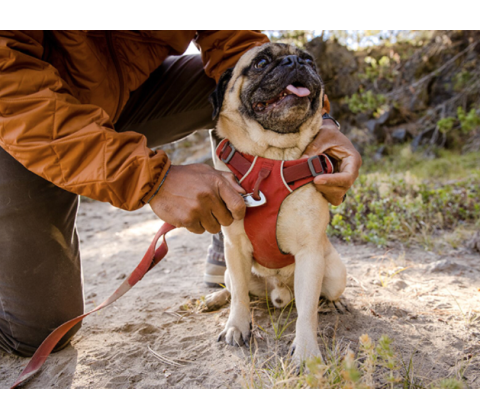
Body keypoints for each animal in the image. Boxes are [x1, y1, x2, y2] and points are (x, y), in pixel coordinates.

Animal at [208, 44, 346, 362]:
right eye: (260, 62)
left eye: (310, 61)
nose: (295, 61)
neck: (272, 159)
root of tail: (278, 293)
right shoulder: (235, 247)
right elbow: (240, 298)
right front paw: (236, 327)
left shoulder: (310, 254)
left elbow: (306, 312)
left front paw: (306, 352)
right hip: (233, 270)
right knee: (234, 289)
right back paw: (215, 298)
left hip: (335, 274)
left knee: (323, 296)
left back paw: (333, 304)